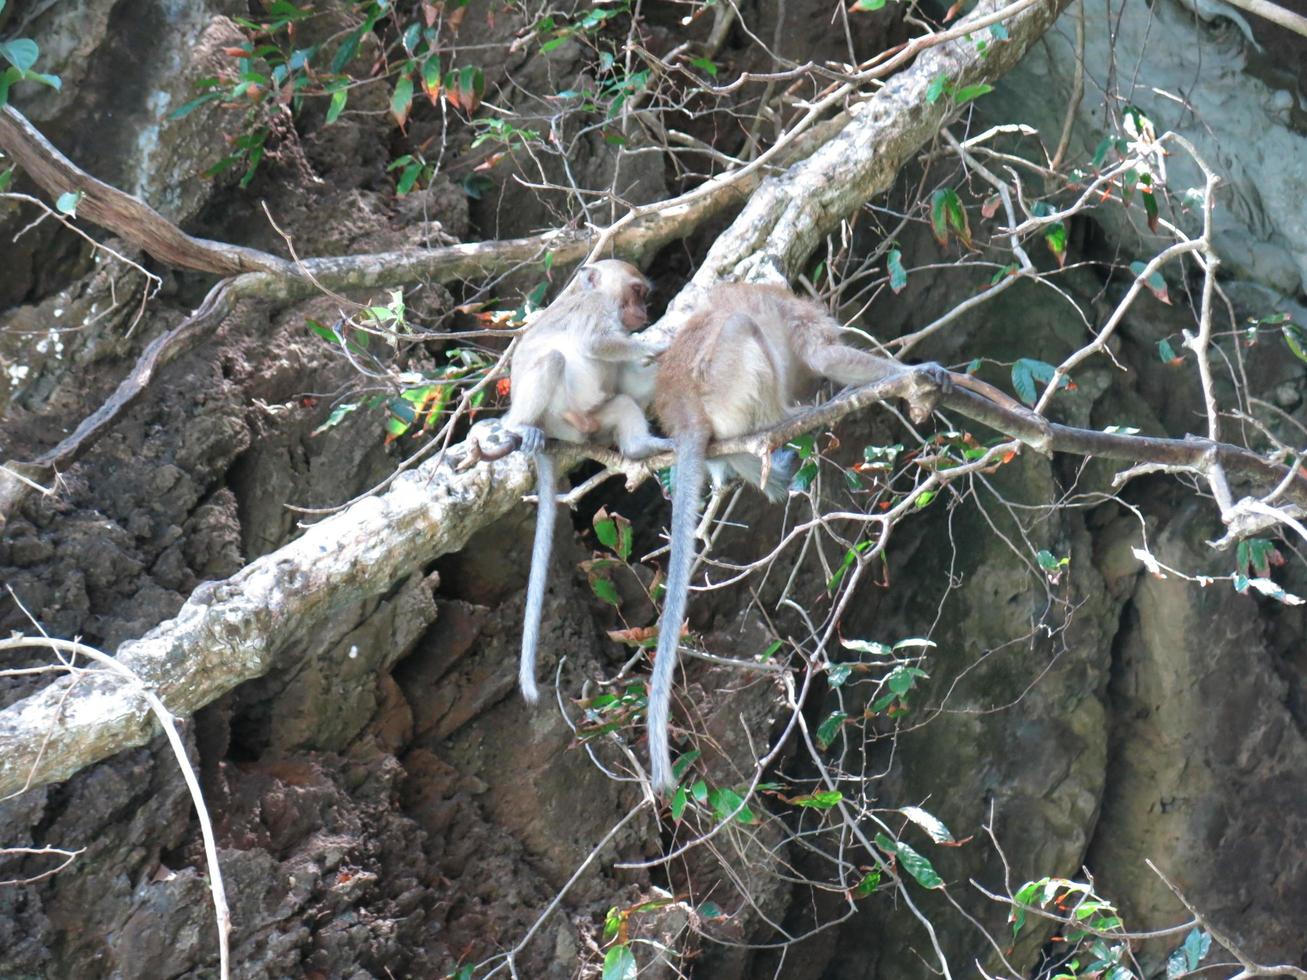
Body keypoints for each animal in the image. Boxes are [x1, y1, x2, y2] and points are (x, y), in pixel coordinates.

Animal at [496, 261, 669, 705]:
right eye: (636, 291)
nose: (644, 312)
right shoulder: (595, 311)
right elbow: (597, 343)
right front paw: (656, 344)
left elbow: (627, 383)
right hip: (557, 418)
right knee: (553, 360)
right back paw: (521, 426)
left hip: (595, 420)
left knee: (620, 402)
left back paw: (641, 446)